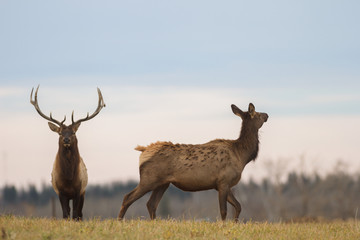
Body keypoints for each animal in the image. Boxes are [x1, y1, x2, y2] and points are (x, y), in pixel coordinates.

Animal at [30, 85, 105, 220]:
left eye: (73, 132)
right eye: (60, 133)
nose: (66, 139)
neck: (69, 178)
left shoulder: (78, 190)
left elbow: (75, 214)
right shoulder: (60, 192)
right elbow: (65, 214)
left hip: (83, 192)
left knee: (80, 214)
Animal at [118, 103, 268, 221]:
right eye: (258, 113)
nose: (267, 114)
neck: (242, 156)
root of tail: (143, 150)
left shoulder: (222, 184)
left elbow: (238, 206)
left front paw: (235, 223)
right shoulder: (223, 181)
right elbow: (224, 211)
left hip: (162, 183)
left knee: (151, 204)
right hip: (149, 179)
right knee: (127, 197)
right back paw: (119, 221)